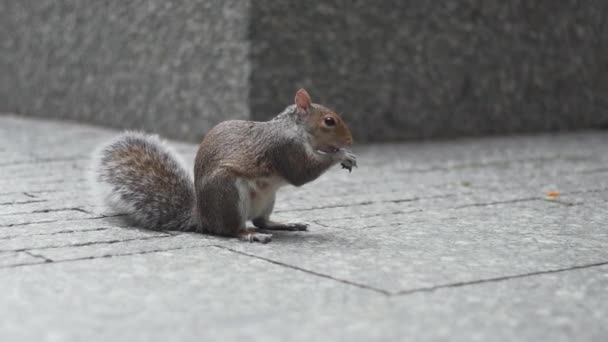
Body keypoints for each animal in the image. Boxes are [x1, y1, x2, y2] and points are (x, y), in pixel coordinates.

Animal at [93, 89, 358, 243]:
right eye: (329, 121)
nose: (349, 140)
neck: (294, 128)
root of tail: (202, 218)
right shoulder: (284, 149)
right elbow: (301, 173)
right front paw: (342, 154)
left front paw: (345, 154)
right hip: (228, 193)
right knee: (231, 230)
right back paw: (250, 235)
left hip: (267, 198)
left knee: (261, 221)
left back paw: (285, 224)